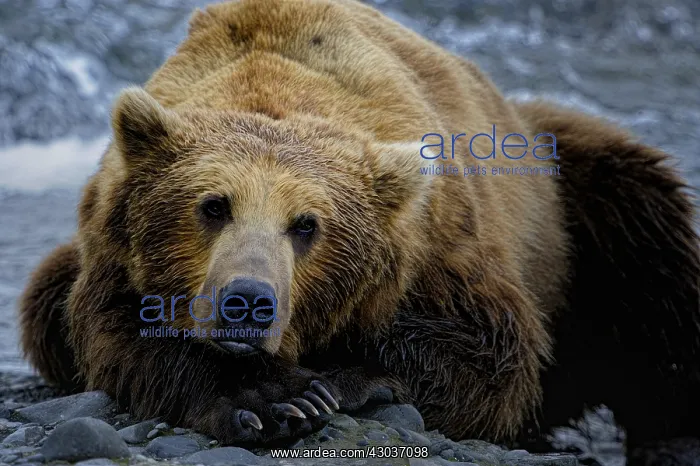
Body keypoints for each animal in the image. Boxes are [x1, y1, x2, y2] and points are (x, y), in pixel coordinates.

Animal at [18, 0, 700, 462]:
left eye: (306, 225)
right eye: (213, 206)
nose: (248, 302)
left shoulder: (443, 246)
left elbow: (493, 354)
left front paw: (340, 382)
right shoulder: (109, 255)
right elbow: (118, 337)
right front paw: (271, 401)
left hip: (571, 189)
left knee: (652, 251)